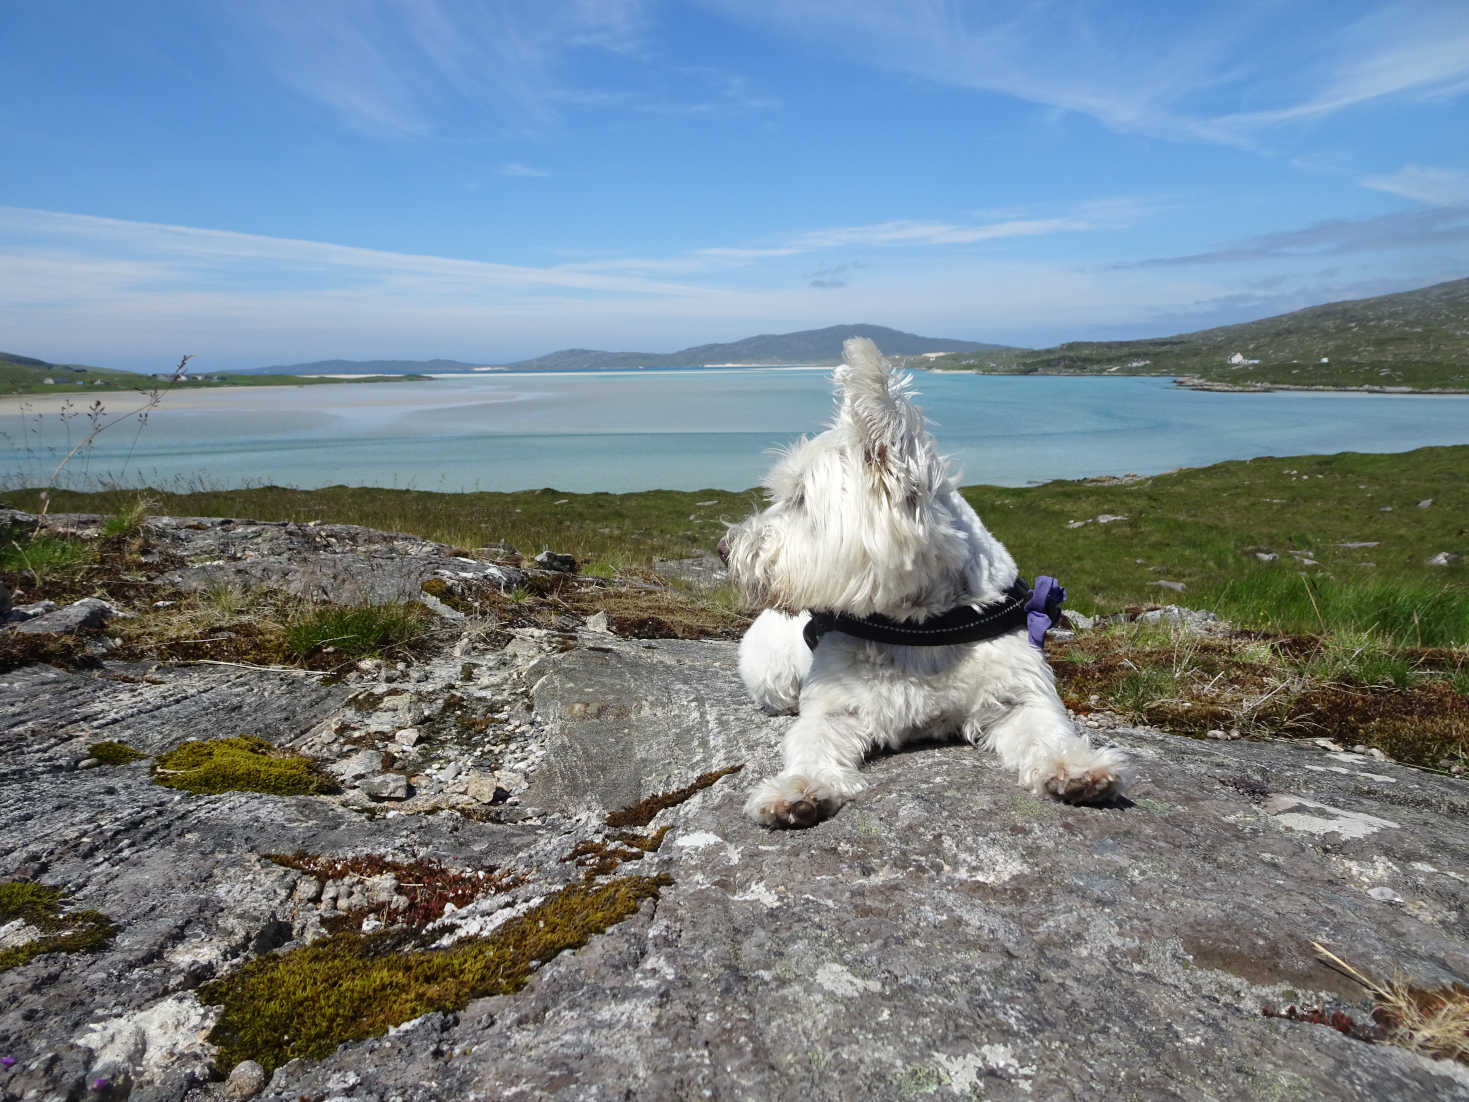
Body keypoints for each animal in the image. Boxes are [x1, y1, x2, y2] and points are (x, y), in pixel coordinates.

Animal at [722, 336, 1122, 828]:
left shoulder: (1018, 692)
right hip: (771, 676)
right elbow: (810, 741)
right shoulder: (833, 705)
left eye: (799, 498)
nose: (724, 550)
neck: (921, 624)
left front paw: (1078, 769)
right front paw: (799, 788)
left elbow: (1047, 729)